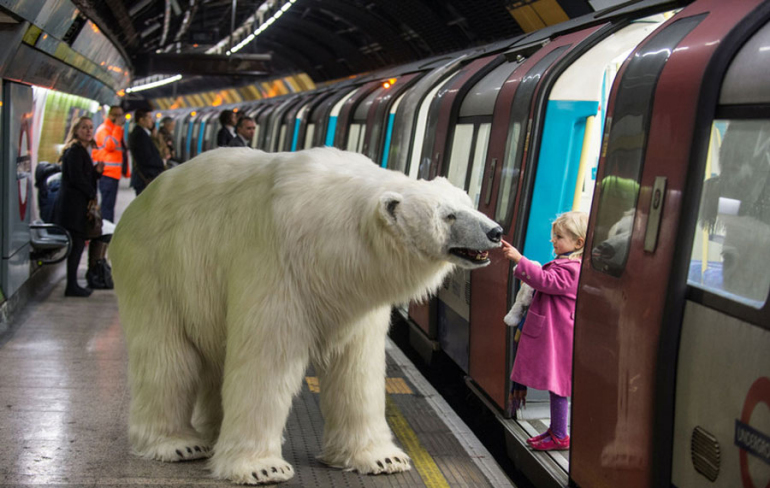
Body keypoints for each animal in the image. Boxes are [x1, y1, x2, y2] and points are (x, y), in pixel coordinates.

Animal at [110, 146, 503, 485]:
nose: (495, 231)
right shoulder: (276, 263)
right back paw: (178, 443)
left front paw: (383, 458)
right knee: (168, 358)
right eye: (447, 215)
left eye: (468, 202)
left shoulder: (355, 296)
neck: (330, 238)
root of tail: (138, 204)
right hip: (155, 269)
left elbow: (357, 368)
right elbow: (266, 361)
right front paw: (262, 468)